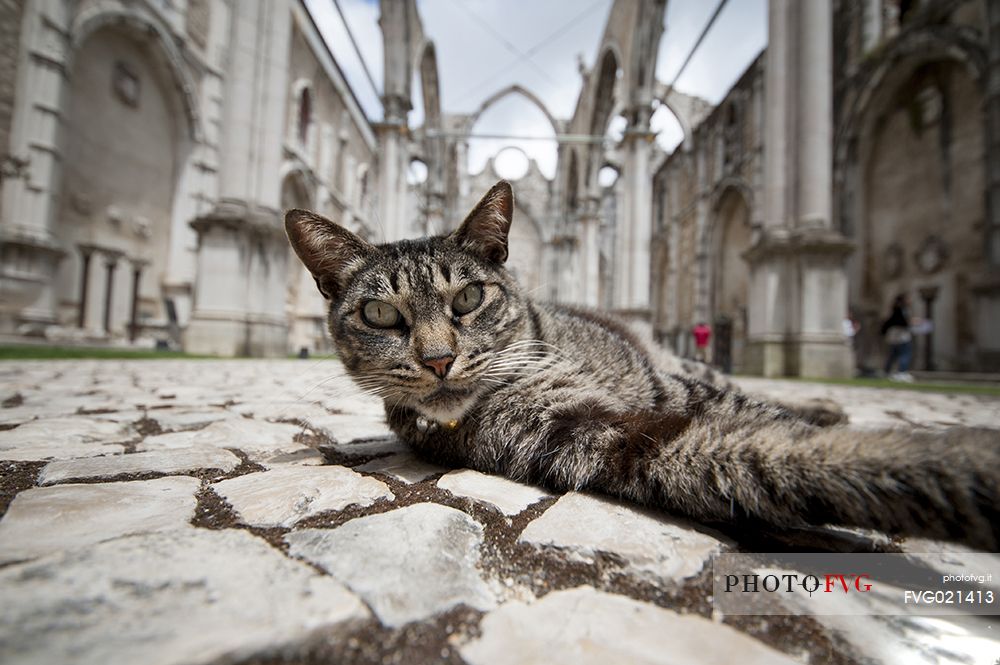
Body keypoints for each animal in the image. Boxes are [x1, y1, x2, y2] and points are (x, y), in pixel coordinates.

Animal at [288, 179, 1000, 548]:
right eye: (381, 316)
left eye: (467, 299)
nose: (438, 360)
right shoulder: (609, 440)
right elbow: (783, 457)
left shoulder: (674, 395)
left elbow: (779, 425)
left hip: (686, 370)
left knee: (744, 388)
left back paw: (825, 402)